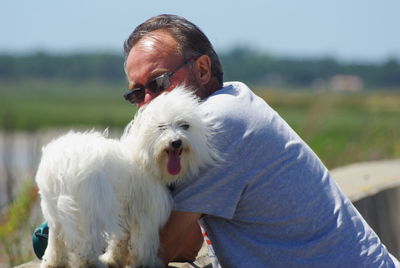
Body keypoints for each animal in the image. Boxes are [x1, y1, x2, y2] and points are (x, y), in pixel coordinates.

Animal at [35, 86, 219, 268]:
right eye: (161, 127)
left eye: (185, 126)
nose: (176, 142)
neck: (145, 158)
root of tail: (61, 165)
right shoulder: (145, 212)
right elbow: (143, 241)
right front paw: (145, 262)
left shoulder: (124, 211)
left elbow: (121, 238)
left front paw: (115, 259)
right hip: (89, 208)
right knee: (87, 246)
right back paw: (93, 263)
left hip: (57, 210)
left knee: (56, 238)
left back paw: (53, 262)